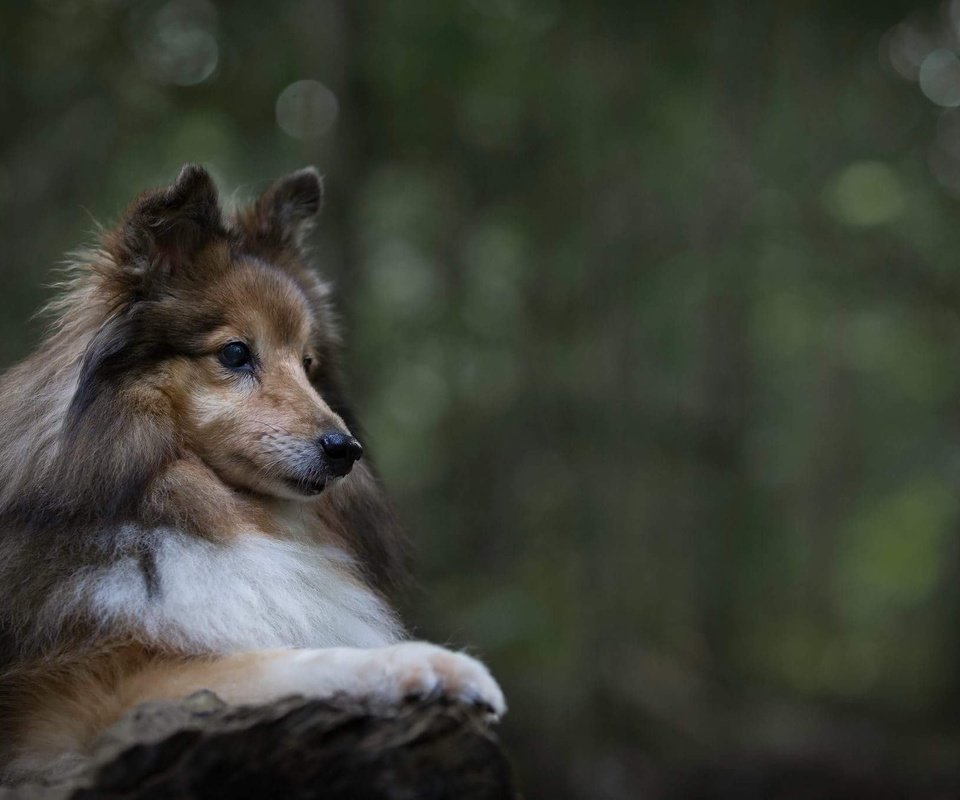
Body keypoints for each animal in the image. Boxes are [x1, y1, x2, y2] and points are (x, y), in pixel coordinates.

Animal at [0, 166, 506, 784]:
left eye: (308, 364)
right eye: (236, 353)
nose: (346, 450)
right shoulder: (105, 693)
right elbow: (295, 661)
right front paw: (441, 665)